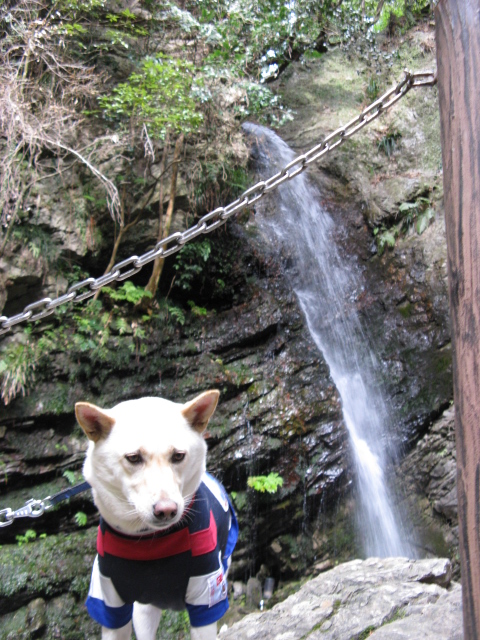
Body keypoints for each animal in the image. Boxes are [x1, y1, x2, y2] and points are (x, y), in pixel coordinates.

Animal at [75, 389, 238, 640]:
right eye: (133, 457)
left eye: (178, 456)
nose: (166, 510)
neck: (148, 543)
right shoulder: (109, 603)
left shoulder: (206, 595)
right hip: (143, 611)